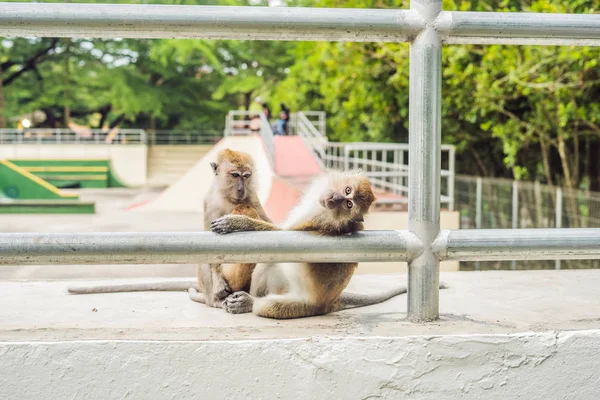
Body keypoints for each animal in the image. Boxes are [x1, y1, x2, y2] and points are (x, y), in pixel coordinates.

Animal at [67, 149, 270, 304]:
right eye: (235, 175)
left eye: (246, 176)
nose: (241, 189)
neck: (229, 197)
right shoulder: (210, 202)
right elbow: (209, 247)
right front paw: (218, 282)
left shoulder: (252, 197)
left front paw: (238, 222)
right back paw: (216, 301)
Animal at [193, 169, 440, 318]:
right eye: (347, 191)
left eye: (348, 204)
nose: (334, 199)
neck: (325, 210)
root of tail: (328, 303)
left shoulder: (316, 219)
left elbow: (282, 238)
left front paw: (238, 222)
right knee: (267, 264)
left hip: (301, 305)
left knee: (269, 302)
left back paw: (250, 303)